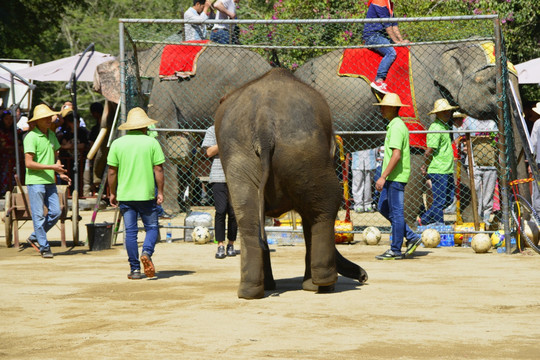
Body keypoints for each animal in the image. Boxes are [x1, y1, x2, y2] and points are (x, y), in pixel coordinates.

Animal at [214, 69, 368, 300]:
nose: (364, 277)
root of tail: (264, 124)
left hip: (241, 158)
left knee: (248, 219)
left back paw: (251, 292)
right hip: (305, 154)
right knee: (324, 207)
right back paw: (323, 285)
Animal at [294, 40, 524, 226]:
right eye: (492, 85)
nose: (495, 222)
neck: (449, 48)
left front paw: (472, 226)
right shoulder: (417, 106)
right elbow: (416, 156)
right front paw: (410, 229)